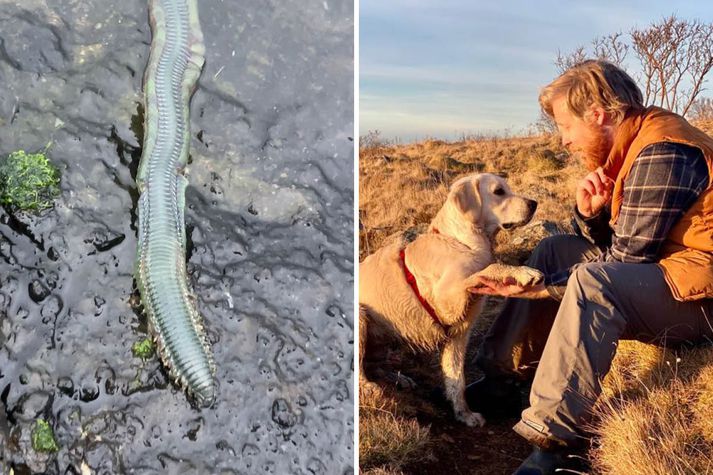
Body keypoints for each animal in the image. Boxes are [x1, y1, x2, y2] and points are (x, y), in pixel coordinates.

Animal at [358, 174, 544, 428]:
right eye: (499, 191)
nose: (534, 203)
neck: (461, 241)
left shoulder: (458, 333)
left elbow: (457, 380)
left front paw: (464, 414)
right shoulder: (447, 298)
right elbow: (488, 268)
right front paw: (522, 272)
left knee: (372, 364)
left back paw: (399, 379)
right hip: (361, 318)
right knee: (359, 368)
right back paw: (368, 387)